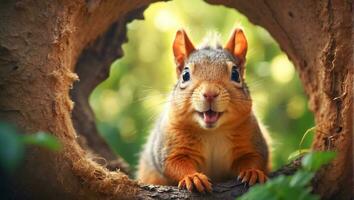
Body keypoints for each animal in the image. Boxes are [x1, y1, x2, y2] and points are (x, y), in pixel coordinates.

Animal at [136, 27, 268, 192]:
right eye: (185, 75)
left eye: (235, 74)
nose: (210, 93)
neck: (212, 133)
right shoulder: (170, 147)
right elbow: (174, 163)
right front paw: (193, 177)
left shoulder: (252, 140)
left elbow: (254, 157)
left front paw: (252, 172)